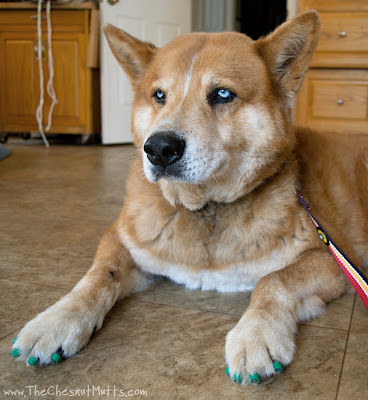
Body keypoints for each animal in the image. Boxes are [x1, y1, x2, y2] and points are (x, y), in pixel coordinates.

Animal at [11, 9, 368, 384]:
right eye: (158, 95)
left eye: (223, 93)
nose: (158, 148)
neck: (203, 206)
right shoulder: (124, 239)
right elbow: (99, 275)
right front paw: (57, 319)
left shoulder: (329, 258)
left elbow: (273, 280)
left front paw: (257, 332)